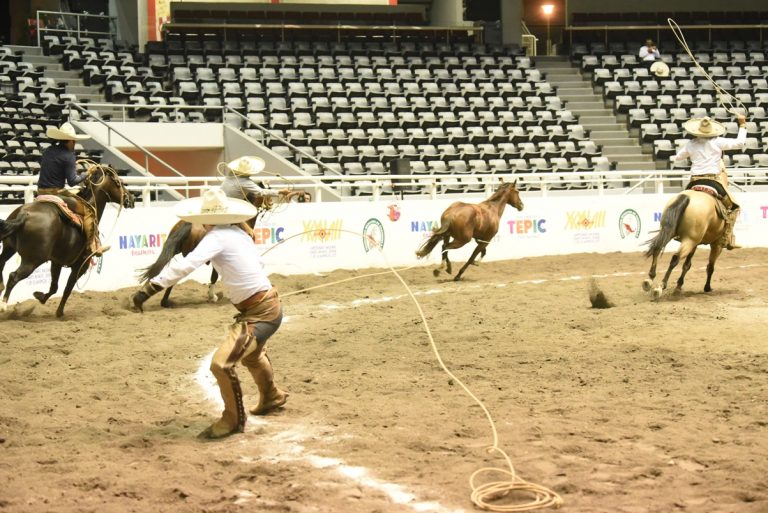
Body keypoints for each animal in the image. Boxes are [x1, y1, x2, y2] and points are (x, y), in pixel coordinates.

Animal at [0, 164, 134, 316]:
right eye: (120, 182)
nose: (131, 199)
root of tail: (24, 214)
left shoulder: (56, 262)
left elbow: (54, 287)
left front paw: (40, 296)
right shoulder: (80, 266)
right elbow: (67, 288)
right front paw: (59, 312)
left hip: (9, 248)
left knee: (2, 263)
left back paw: (1, 287)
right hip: (32, 260)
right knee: (13, 276)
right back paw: (4, 305)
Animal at [138, 189, 308, 306]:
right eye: (264, 193)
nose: (271, 204)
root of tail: (189, 224)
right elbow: (214, 276)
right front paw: (212, 296)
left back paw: (160, 299)